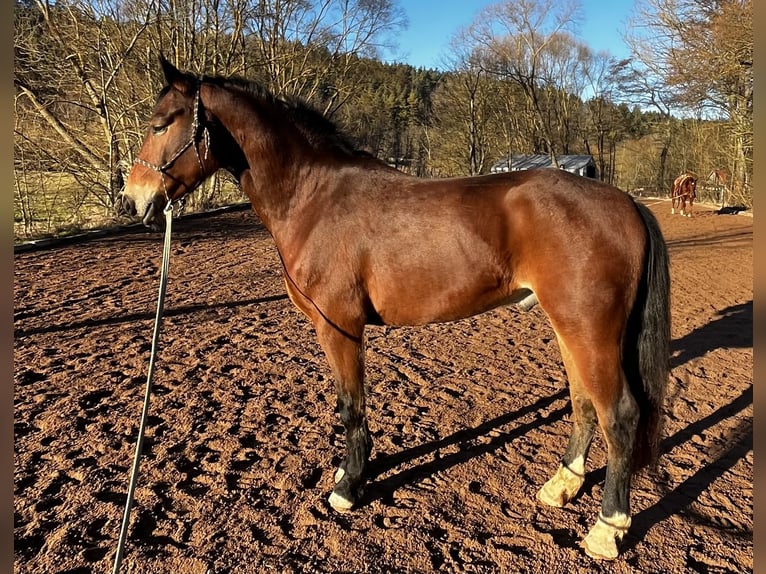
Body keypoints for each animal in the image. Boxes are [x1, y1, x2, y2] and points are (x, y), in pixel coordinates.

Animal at [120, 57, 672, 564]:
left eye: (161, 123)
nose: (133, 200)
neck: (313, 198)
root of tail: (625, 202)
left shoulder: (339, 328)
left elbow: (351, 406)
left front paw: (348, 486)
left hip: (590, 330)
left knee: (619, 414)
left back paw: (607, 528)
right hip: (568, 327)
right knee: (583, 403)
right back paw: (562, 485)